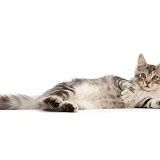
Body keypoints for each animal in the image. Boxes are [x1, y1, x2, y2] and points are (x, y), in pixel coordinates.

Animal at [0, 53, 160, 111]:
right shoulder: (117, 79)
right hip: (70, 89)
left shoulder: (143, 102)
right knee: (45, 101)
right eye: (143, 75)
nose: (147, 83)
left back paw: (67, 106)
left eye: (155, 77)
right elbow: (129, 85)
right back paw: (55, 101)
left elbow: (153, 102)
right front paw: (127, 94)